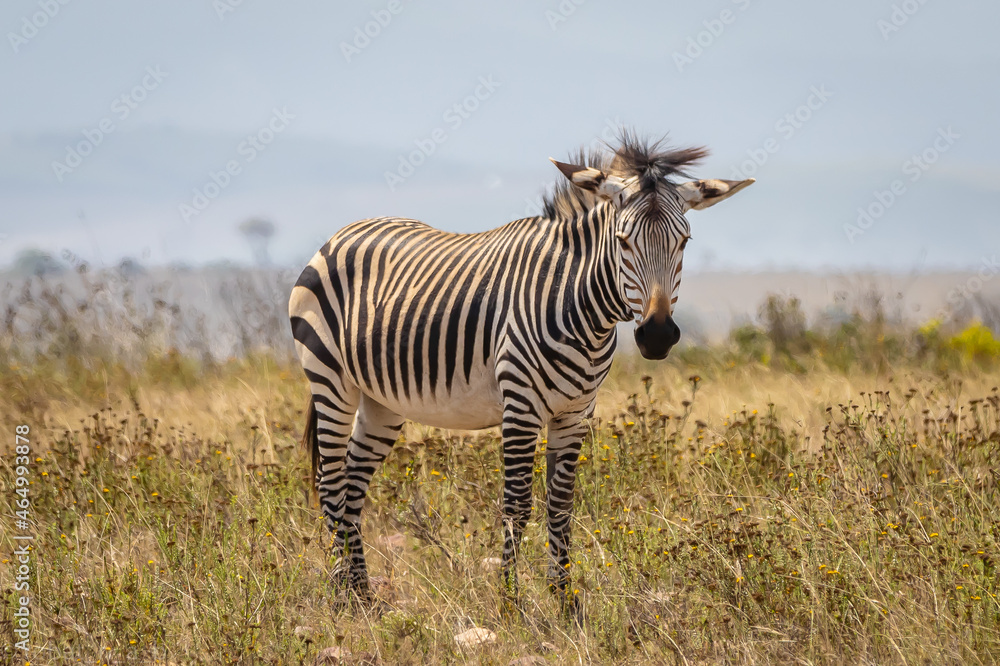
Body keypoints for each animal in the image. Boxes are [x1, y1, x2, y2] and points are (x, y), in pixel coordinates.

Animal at [289, 132, 753, 612]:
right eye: (623, 241)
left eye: (684, 242)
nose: (658, 336)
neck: (580, 307)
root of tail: (342, 233)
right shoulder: (522, 406)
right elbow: (516, 505)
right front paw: (510, 603)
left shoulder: (575, 413)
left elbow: (561, 505)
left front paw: (564, 601)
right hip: (331, 380)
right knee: (331, 484)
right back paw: (342, 597)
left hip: (381, 401)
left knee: (352, 487)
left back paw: (360, 594)